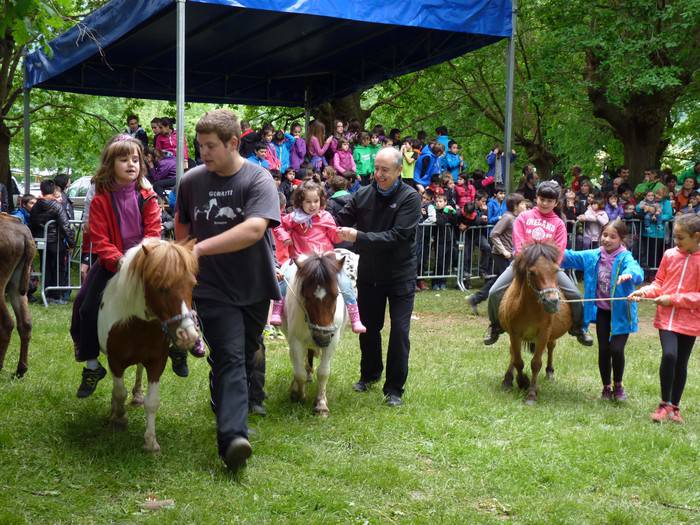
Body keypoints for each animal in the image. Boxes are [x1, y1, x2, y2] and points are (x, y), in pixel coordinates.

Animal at [96, 238, 200, 450]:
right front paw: (119, 419)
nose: (188, 335)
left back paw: (137, 395)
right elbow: (119, 392)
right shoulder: (115, 361)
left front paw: (151, 441)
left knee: (138, 369)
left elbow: (152, 402)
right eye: (162, 287)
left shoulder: (157, 362)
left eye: (192, 285)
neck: (137, 324)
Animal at [282, 250, 352, 414]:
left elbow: (323, 372)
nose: (322, 337)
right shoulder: (296, 341)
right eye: (306, 296)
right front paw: (299, 396)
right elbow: (299, 373)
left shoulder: (332, 341)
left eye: (336, 295)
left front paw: (321, 405)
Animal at [494, 241, 572, 402]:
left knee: (551, 347)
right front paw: (522, 381)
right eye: (532, 272)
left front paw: (531, 393)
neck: (530, 309)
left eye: (556, 270)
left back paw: (550, 372)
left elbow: (536, 363)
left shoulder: (543, 334)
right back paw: (507, 380)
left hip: (550, 336)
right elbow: (518, 361)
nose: (552, 302)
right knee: (513, 353)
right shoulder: (514, 334)